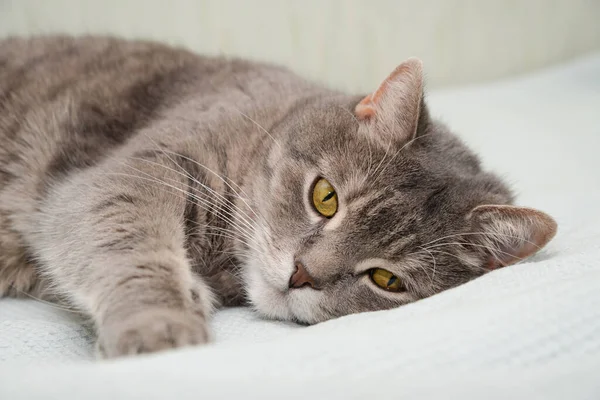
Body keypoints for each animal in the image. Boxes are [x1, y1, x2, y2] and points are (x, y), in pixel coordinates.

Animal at [0, 36, 556, 358]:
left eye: (386, 280)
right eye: (325, 197)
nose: (301, 274)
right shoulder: (134, 173)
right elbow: (134, 248)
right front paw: (160, 324)